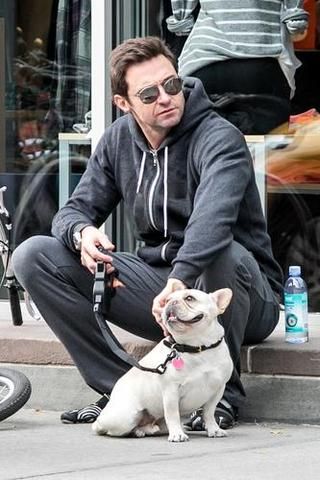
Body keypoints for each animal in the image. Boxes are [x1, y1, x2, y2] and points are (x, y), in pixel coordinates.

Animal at [92, 288, 232, 442]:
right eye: (167, 300)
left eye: (189, 298)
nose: (171, 302)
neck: (197, 347)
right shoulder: (171, 391)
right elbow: (172, 414)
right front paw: (177, 434)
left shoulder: (218, 389)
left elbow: (209, 412)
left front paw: (214, 429)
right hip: (123, 417)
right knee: (108, 428)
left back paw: (145, 430)